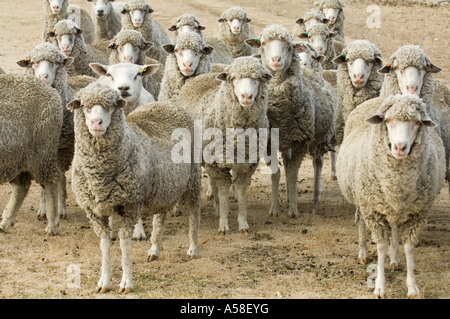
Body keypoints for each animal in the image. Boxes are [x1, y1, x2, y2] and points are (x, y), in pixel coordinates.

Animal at [0, 74, 63, 236]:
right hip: (18, 158)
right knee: (22, 186)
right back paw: (5, 222)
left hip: (43, 153)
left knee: (51, 182)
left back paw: (52, 224)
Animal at [67, 83, 201, 296]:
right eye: (84, 106)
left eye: (111, 106)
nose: (96, 123)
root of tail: (168, 104)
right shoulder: (94, 211)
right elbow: (104, 244)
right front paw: (104, 281)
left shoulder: (130, 206)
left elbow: (124, 243)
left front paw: (126, 283)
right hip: (163, 186)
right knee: (160, 216)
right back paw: (154, 249)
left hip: (193, 177)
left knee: (194, 213)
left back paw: (193, 249)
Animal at [178, 56, 272, 234]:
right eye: (233, 78)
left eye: (257, 79)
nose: (246, 96)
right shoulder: (216, 163)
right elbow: (222, 191)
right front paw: (223, 224)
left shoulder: (249, 163)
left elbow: (241, 191)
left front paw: (243, 223)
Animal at [246, 24, 338, 215]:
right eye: (263, 43)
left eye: (288, 45)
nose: (276, 60)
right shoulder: (269, 142)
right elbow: (277, 173)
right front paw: (274, 208)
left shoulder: (300, 141)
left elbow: (293, 173)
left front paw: (293, 210)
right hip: (286, 140)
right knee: (287, 164)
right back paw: (288, 194)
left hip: (319, 138)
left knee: (318, 163)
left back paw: (315, 195)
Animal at [338, 94, 446, 298]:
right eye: (387, 121)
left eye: (417, 123)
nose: (400, 147)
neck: (399, 182)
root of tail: (377, 98)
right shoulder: (373, 211)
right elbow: (380, 247)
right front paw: (380, 287)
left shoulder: (417, 213)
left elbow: (409, 247)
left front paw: (412, 286)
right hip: (362, 200)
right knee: (361, 221)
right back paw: (363, 253)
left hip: (393, 207)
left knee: (395, 227)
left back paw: (395, 258)